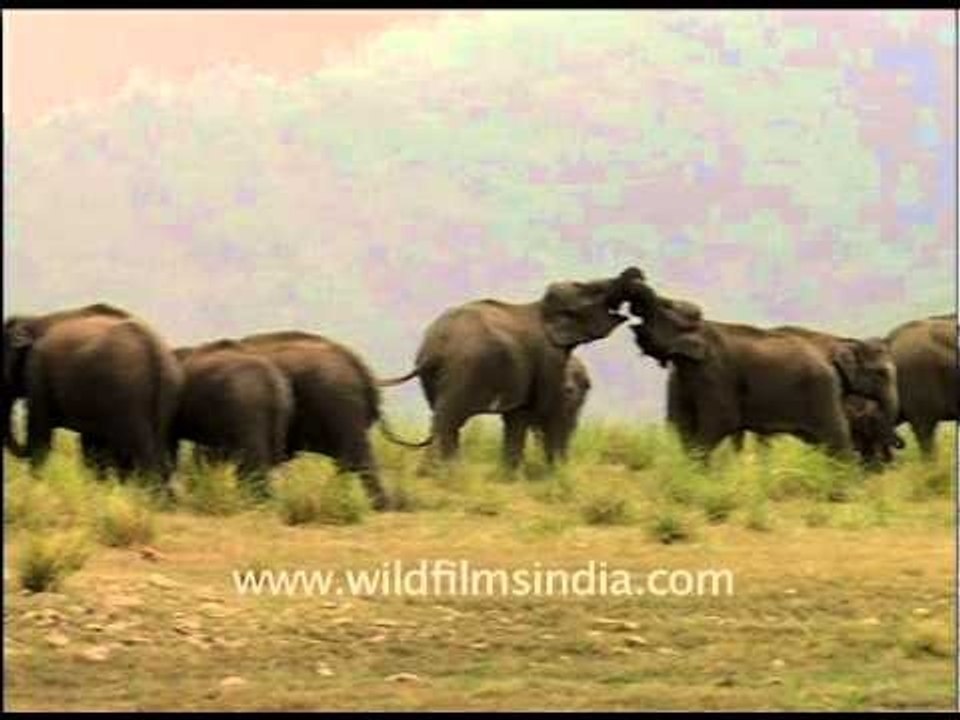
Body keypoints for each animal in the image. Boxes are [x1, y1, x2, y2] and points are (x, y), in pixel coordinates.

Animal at [3, 303, 183, 480]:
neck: (32, 321)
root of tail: (154, 350)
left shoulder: (37, 374)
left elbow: (40, 435)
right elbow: (92, 447)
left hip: (129, 395)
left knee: (143, 457)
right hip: (166, 394)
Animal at [379, 267, 654, 470]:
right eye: (595, 290)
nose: (637, 273)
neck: (543, 307)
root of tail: (435, 347)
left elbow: (517, 415)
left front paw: (510, 474)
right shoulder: (548, 356)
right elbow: (543, 408)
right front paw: (555, 473)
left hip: (434, 377)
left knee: (441, 416)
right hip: (465, 369)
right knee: (449, 418)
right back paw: (441, 473)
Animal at [629, 296, 859, 459]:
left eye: (665, 306)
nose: (632, 318)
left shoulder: (716, 373)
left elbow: (722, 420)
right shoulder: (680, 378)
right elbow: (680, 422)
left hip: (821, 392)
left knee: (835, 438)